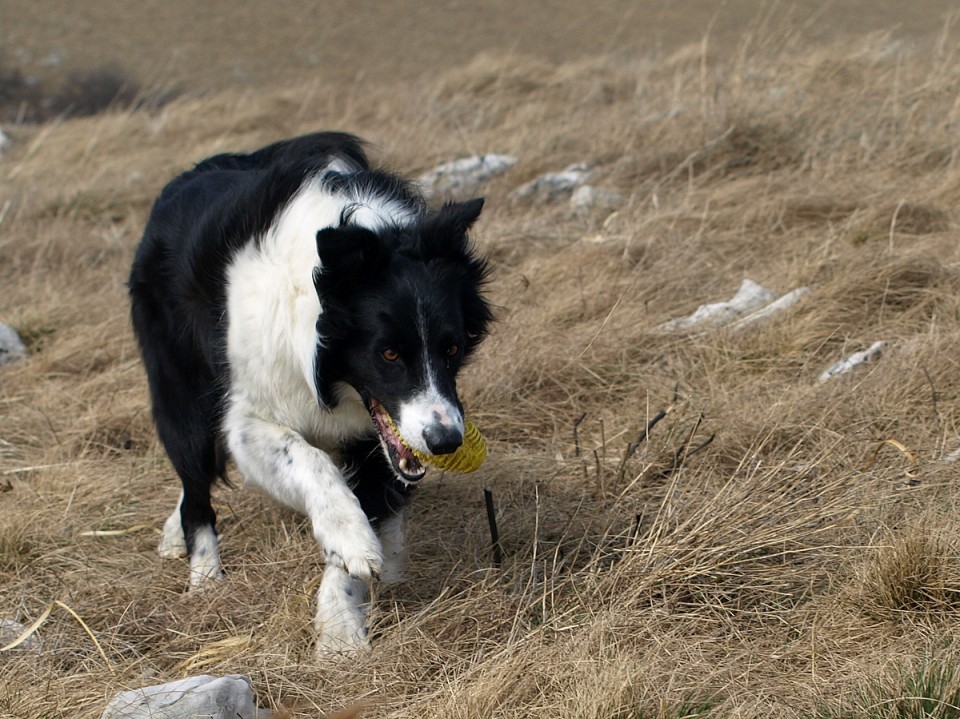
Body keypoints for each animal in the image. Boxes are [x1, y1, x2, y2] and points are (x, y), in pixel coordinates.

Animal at [127, 132, 492, 656]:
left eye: (452, 347)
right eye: (388, 354)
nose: (445, 443)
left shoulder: (378, 438)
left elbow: (371, 503)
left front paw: (340, 631)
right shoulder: (249, 415)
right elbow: (306, 458)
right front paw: (352, 541)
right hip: (181, 387)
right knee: (195, 479)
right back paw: (204, 577)